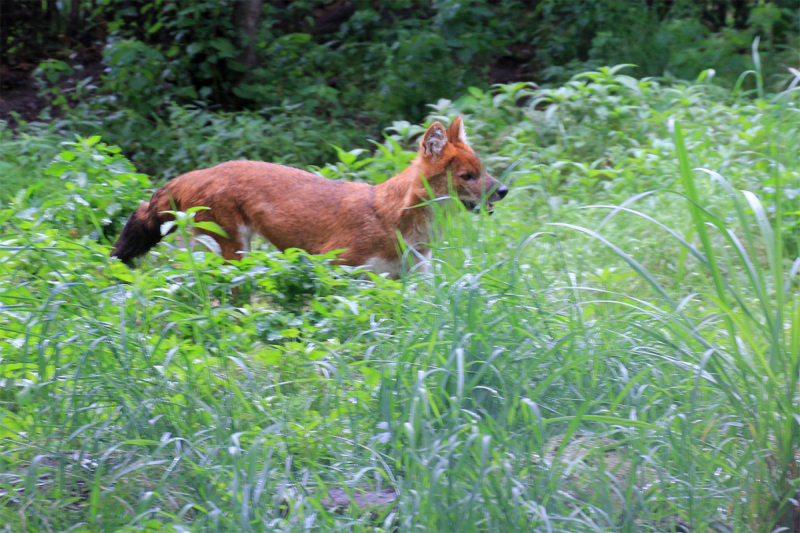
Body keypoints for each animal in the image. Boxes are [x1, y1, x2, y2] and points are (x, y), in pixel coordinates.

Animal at [110, 117, 510, 278]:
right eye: (467, 176)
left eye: (484, 170)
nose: (504, 190)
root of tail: (193, 173)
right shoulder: (337, 265)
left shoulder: (412, 276)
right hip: (232, 251)